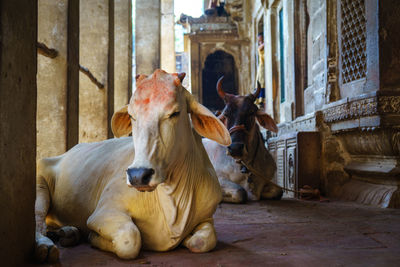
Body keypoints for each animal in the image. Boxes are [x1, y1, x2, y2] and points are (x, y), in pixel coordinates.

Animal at [35, 69, 231, 264]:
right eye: (131, 115)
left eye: (175, 113)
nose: (138, 175)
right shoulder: (104, 211)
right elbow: (130, 240)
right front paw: (93, 237)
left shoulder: (207, 217)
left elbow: (202, 241)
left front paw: (188, 239)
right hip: (39, 183)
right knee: (38, 220)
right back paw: (47, 246)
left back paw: (68, 233)